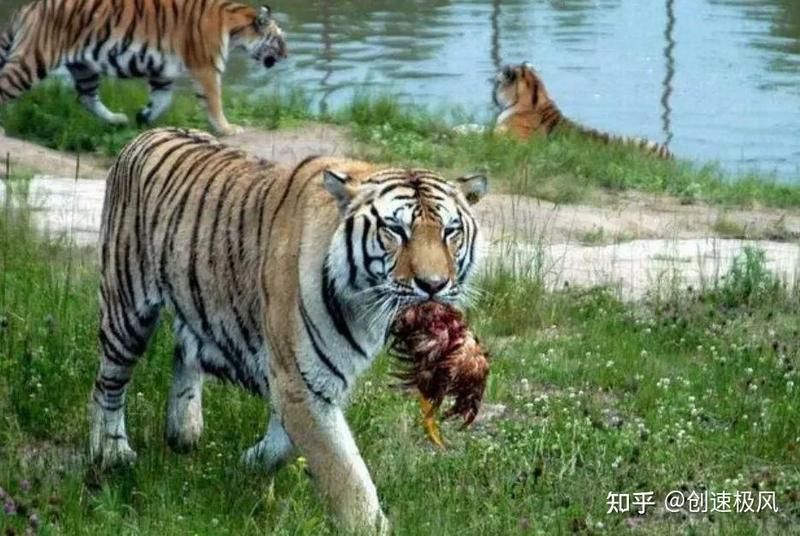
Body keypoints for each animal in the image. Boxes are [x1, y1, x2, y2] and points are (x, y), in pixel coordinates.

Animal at [0, 0, 286, 136]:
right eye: (279, 39)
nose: (286, 55)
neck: (235, 27)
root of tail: (28, 7)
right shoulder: (206, 68)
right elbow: (214, 102)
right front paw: (227, 128)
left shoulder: (164, 71)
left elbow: (162, 99)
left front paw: (144, 116)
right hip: (33, 60)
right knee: (5, 84)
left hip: (84, 67)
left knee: (86, 97)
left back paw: (117, 119)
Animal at [89, 127, 488, 533]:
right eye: (395, 230)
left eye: (450, 232)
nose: (434, 285)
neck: (364, 307)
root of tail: (149, 133)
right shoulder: (301, 382)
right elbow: (345, 471)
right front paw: (369, 525)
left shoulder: (306, 383)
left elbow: (288, 442)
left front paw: (250, 461)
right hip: (126, 308)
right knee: (108, 384)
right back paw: (111, 452)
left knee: (184, 351)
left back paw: (183, 430)